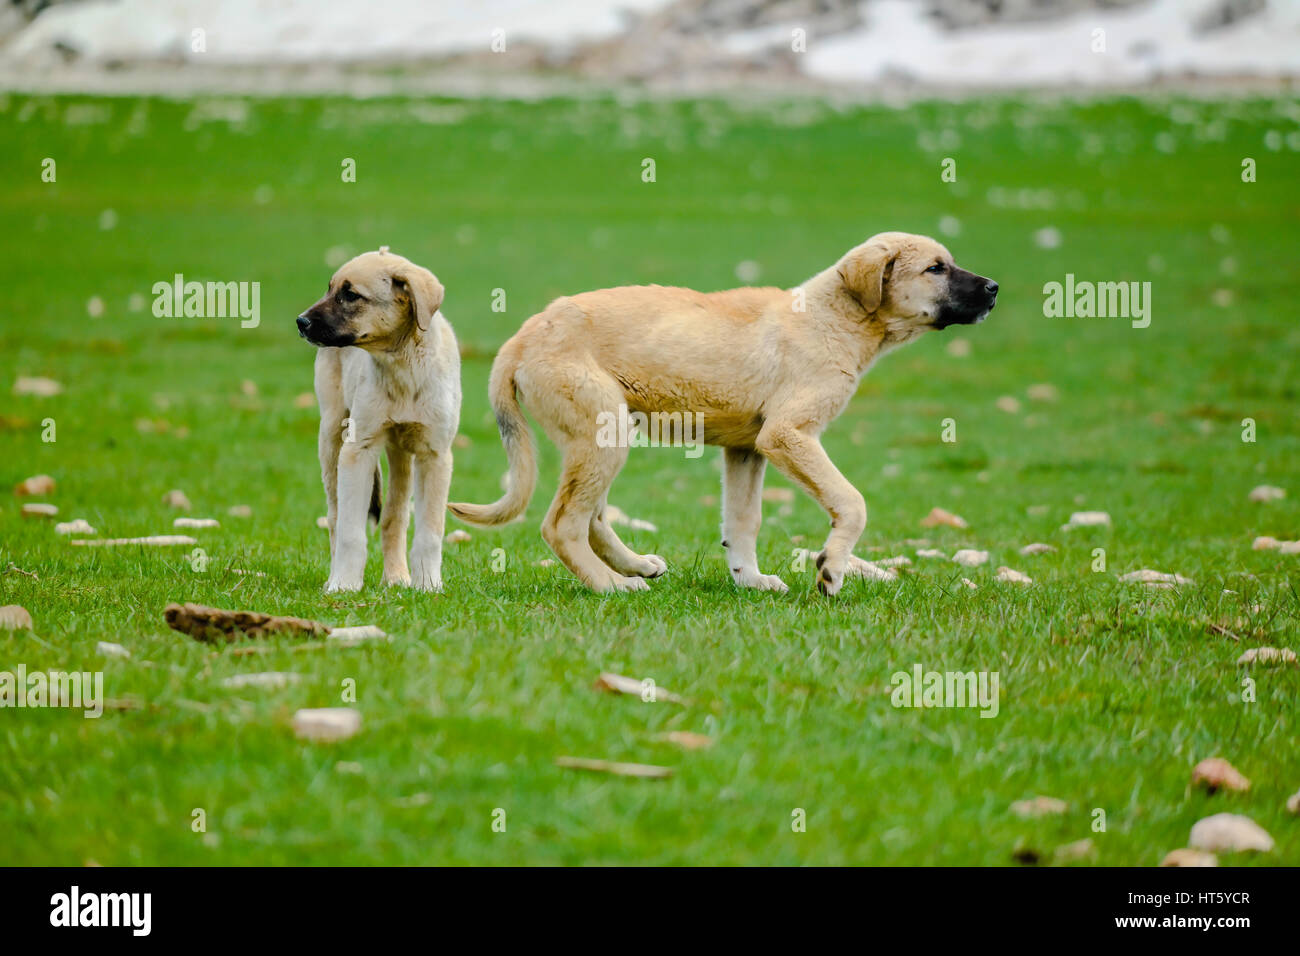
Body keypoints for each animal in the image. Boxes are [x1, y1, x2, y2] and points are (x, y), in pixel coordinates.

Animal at [297, 247, 460, 595]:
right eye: (329, 289)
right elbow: (351, 532)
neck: (403, 365)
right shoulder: (358, 449)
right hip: (331, 435)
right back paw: (335, 575)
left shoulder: (434, 455)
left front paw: (428, 585)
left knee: (394, 517)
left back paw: (396, 577)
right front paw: (344, 584)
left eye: (350, 295)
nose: (301, 322)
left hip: (402, 455)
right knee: (335, 517)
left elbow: (429, 533)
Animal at [447, 231, 993, 595]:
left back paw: (634, 566)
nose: (994, 289)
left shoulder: (747, 449)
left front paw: (749, 579)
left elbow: (743, 521)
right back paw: (612, 585)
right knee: (562, 524)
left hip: (597, 435)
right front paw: (831, 568)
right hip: (604, 431)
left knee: (591, 516)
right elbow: (852, 502)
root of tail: (522, 336)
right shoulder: (787, 435)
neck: (834, 318)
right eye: (936, 269)